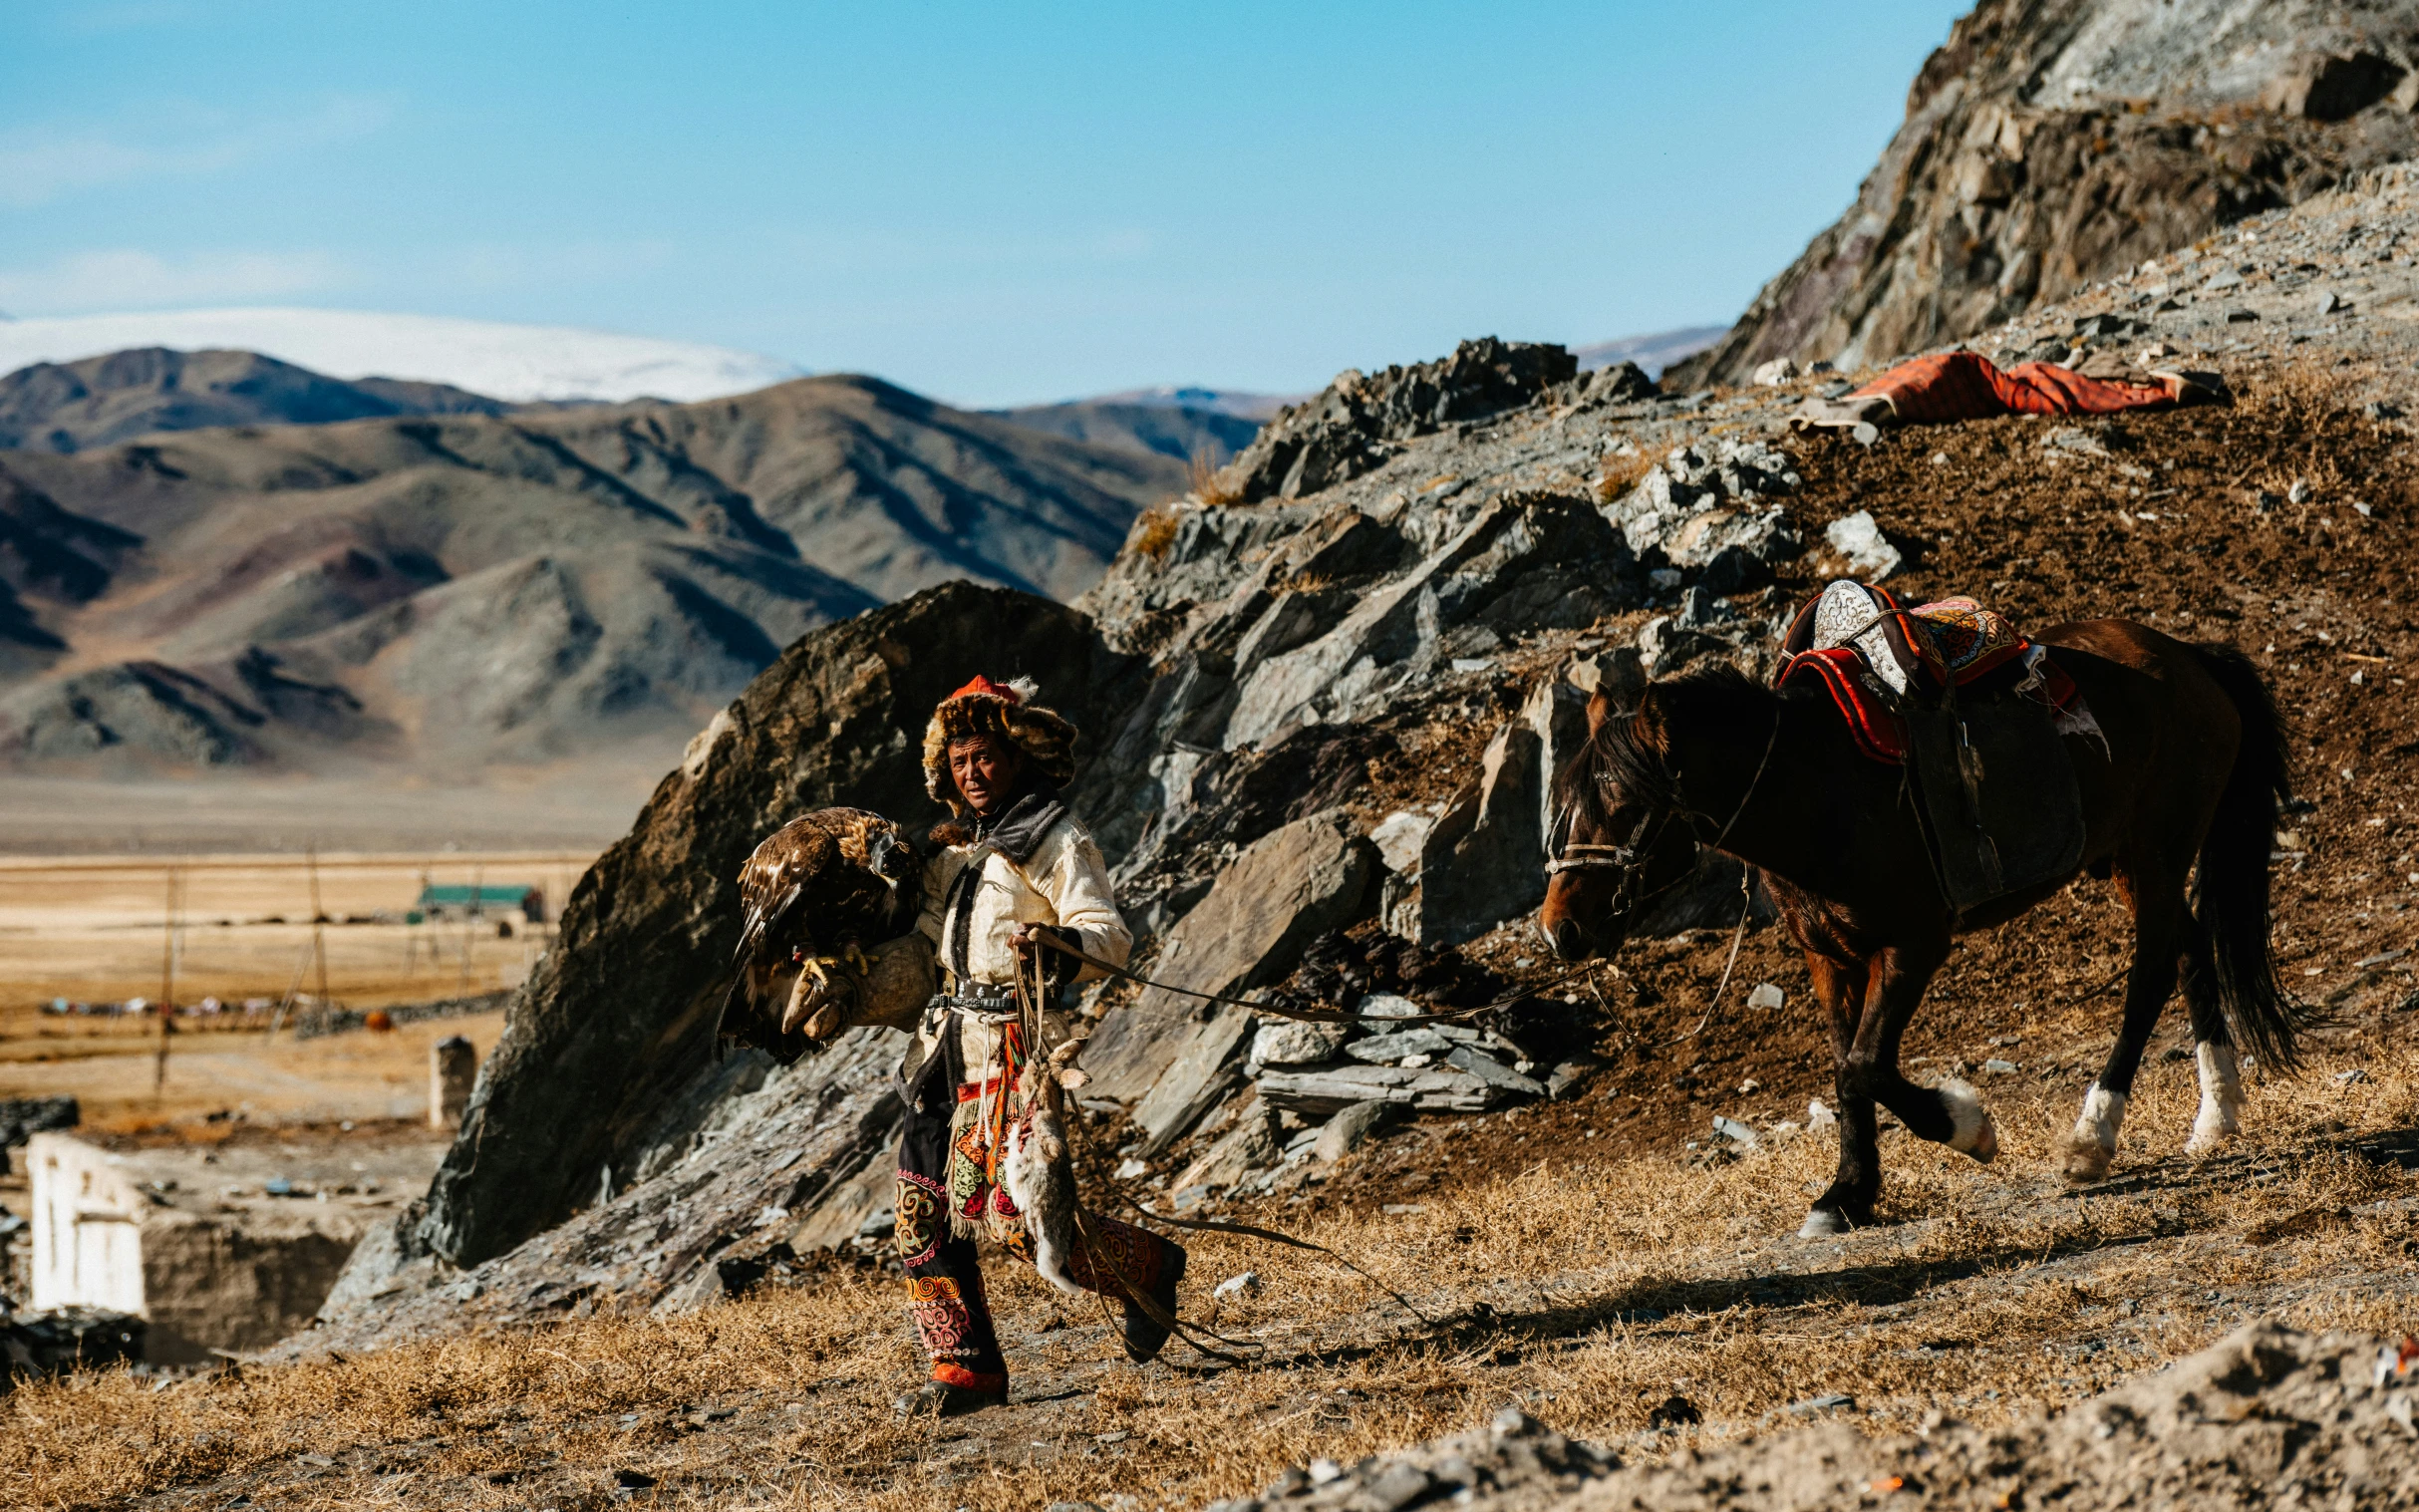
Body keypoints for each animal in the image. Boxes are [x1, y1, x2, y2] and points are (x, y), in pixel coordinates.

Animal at [1538, 619, 2312, 1233]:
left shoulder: (1912, 946)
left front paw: (1968, 1129)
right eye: (1566, 799)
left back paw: (2093, 1136)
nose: (1559, 930)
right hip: (2131, 859)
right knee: (2189, 949)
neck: (1818, 789)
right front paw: (1847, 1195)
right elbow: (1846, 1068)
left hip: (2155, 852)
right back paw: (2215, 1116)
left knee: (2152, 971)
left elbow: (1862, 1066)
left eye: (1622, 803)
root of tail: (2191, 659)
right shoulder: (1832, 959)